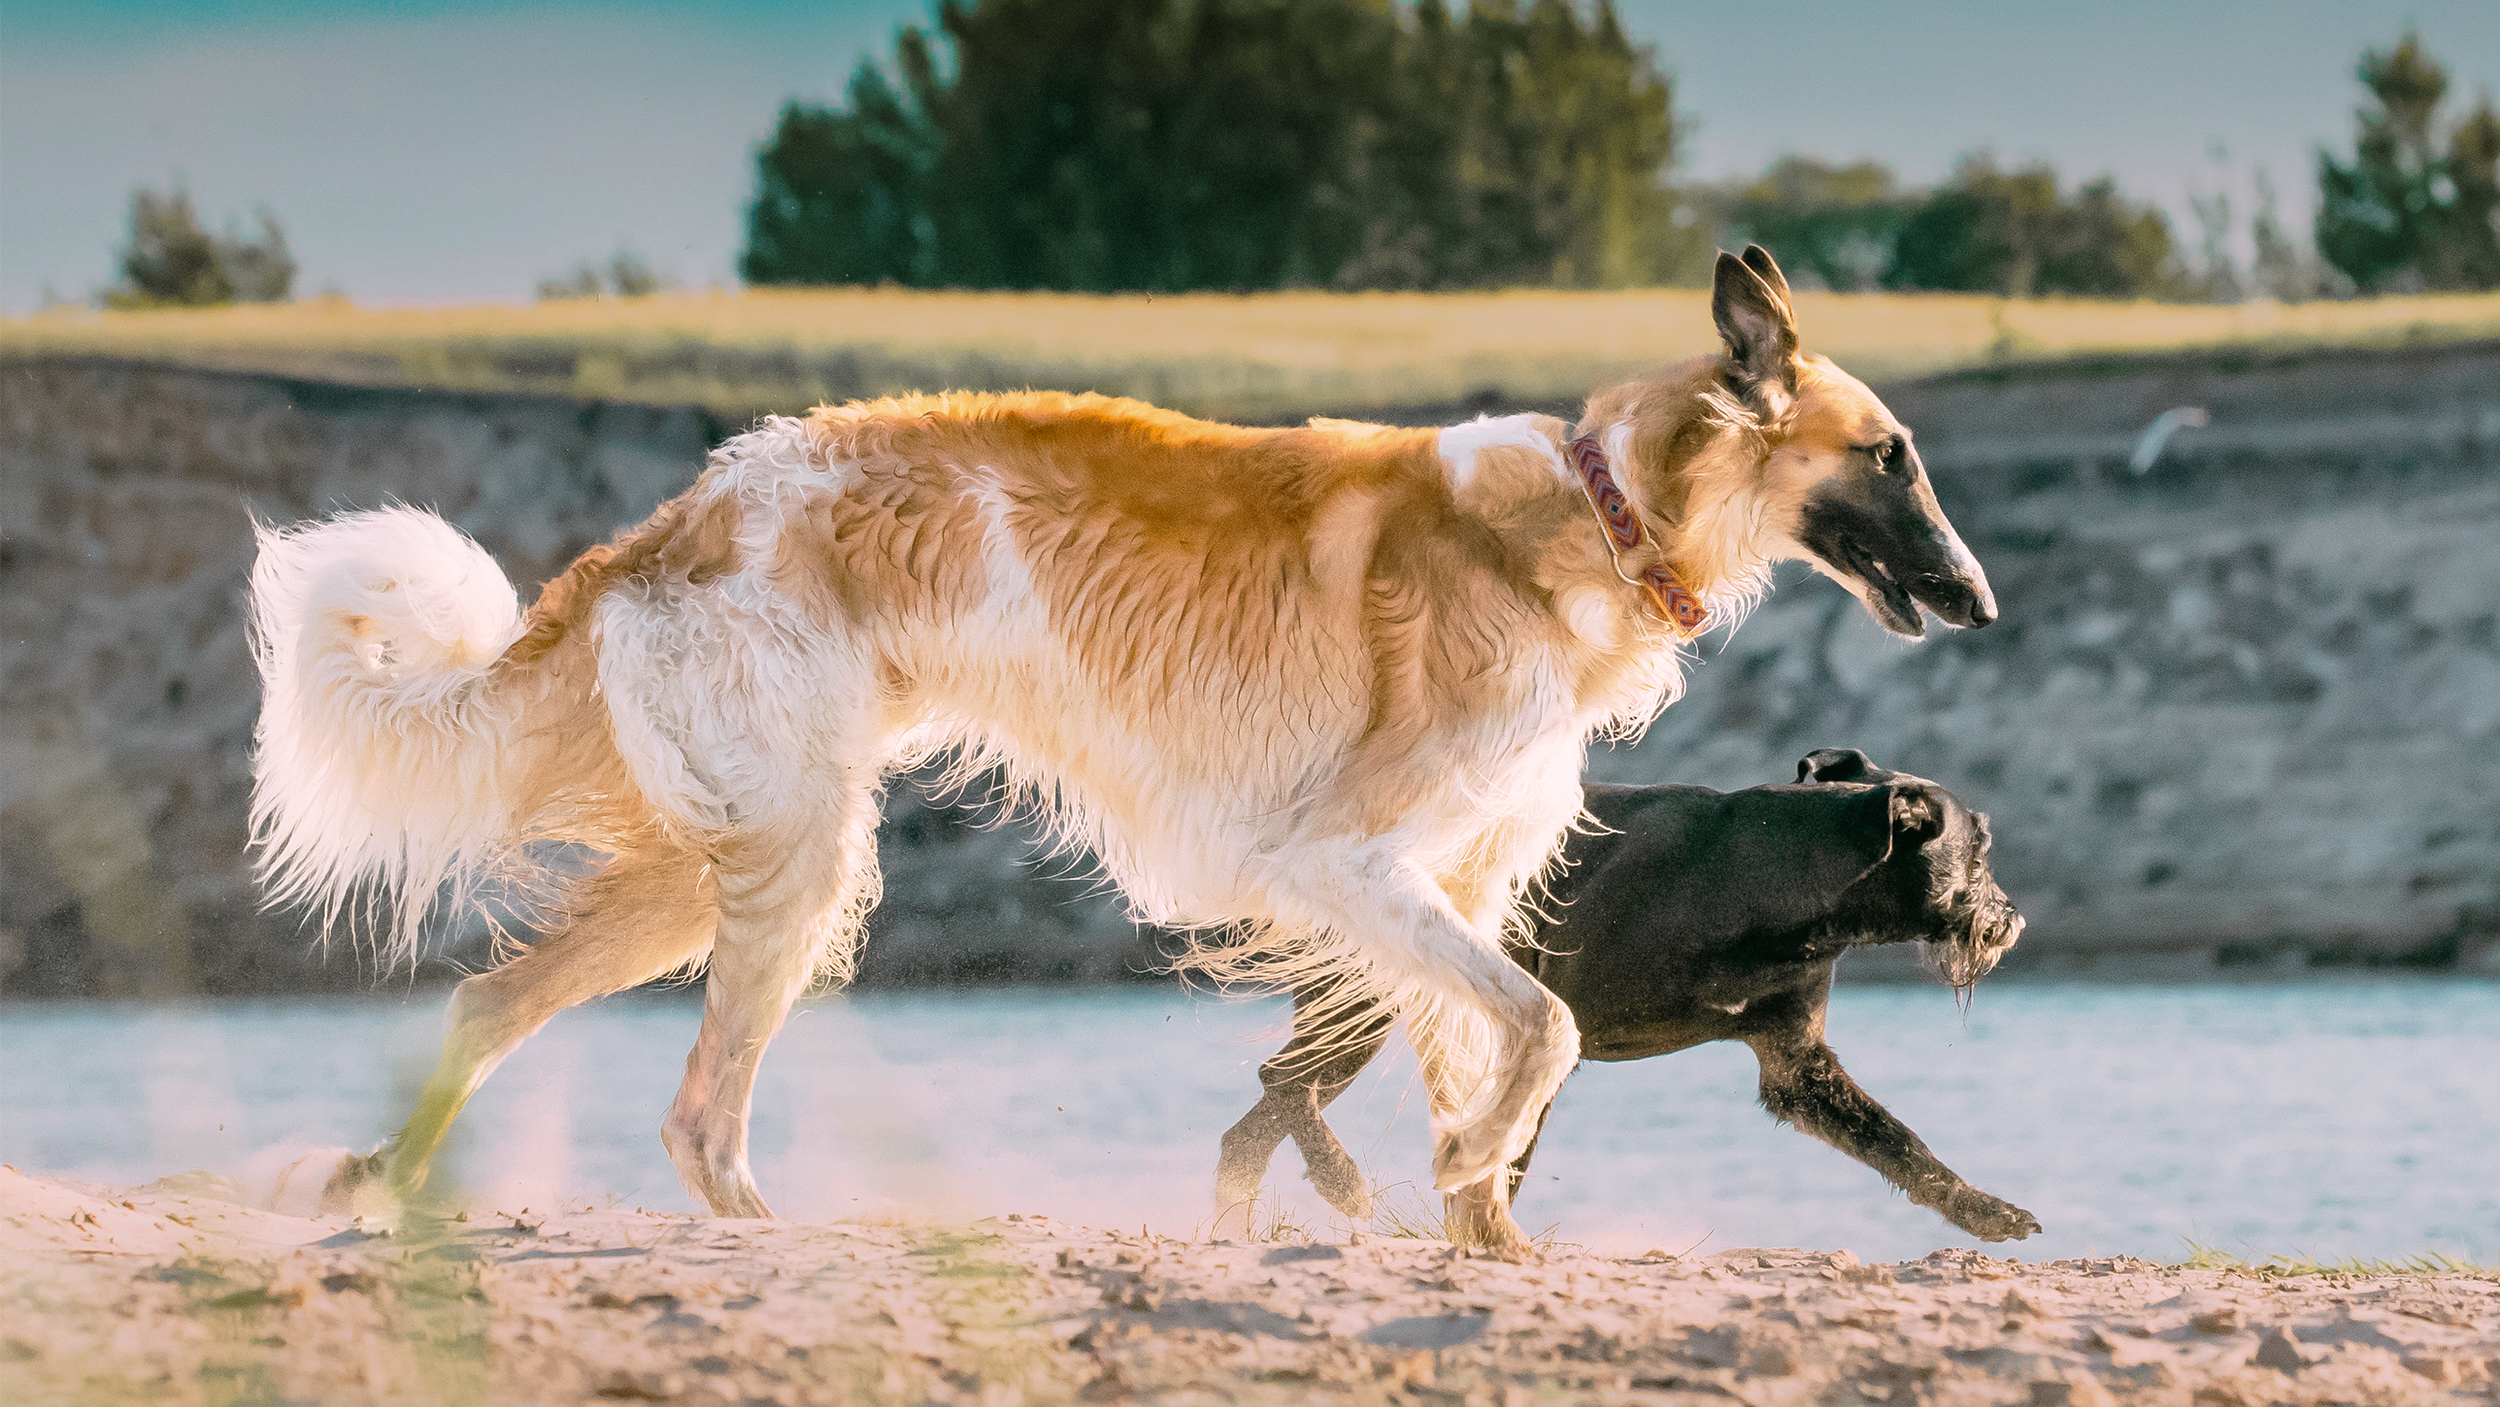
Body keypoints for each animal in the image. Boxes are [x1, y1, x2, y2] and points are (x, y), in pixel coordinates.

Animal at [1220, 749, 2040, 1244]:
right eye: (1981, 848)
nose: (2013, 919)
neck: (1770, 874)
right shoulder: (1543, 1034)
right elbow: (1503, 1153)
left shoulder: (1797, 1068)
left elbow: (1902, 1145)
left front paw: (1984, 1210)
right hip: (1362, 1004)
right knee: (1282, 1085)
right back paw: (1339, 1179)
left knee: (1257, 1119)